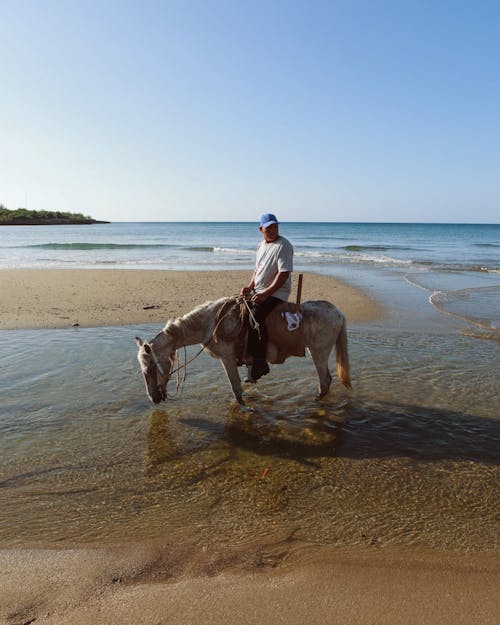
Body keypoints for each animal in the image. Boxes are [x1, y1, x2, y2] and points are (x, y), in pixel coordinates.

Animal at [135, 296, 350, 404]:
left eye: (150, 369)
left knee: (325, 380)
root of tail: (338, 312)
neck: (210, 323)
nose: (153, 398)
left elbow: (236, 388)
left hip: (318, 352)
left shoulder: (227, 357)